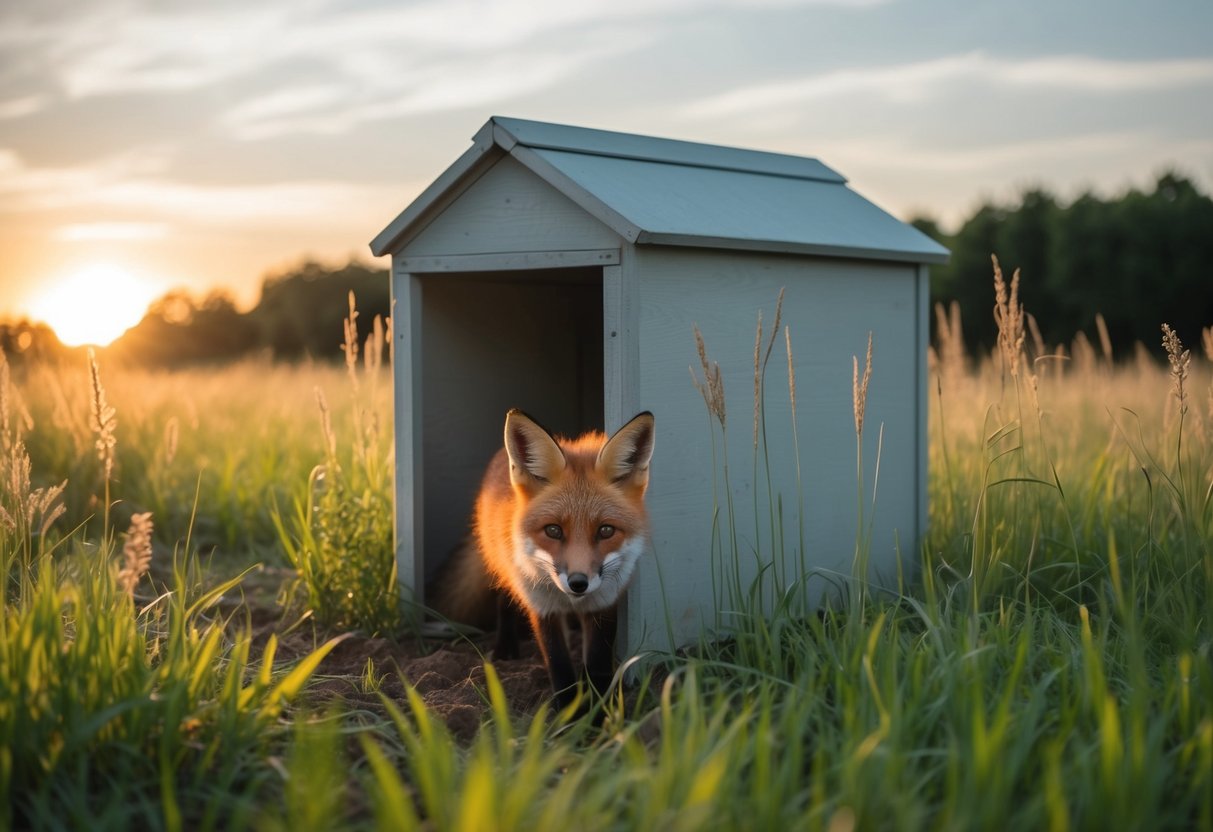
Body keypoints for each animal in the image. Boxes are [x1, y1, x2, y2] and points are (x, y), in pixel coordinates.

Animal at [431, 409, 656, 710]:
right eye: (553, 530)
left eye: (606, 530)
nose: (578, 583)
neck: (572, 601)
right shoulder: (542, 606)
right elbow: (558, 664)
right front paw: (569, 713)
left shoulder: (605, 603)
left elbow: (597, 665)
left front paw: (595, 712)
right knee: (504, 600)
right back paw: (506, 647)